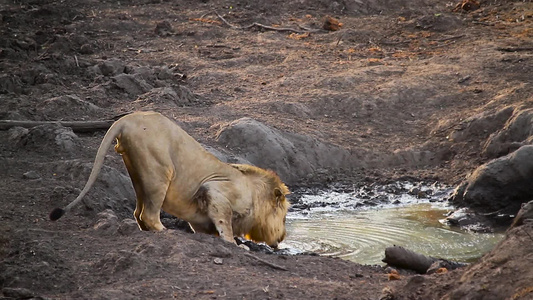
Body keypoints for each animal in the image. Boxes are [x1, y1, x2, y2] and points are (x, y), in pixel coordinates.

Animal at [48, 111, 290, 247]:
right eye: (284, 217)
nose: (282, 238)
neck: (255, 194)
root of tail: (127, 119)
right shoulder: (215, 190)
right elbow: (225, 224)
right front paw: (237, 245)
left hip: (138, 175)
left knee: (138, 212)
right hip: (160, 174)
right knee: (149, 214)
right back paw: (166, 231)